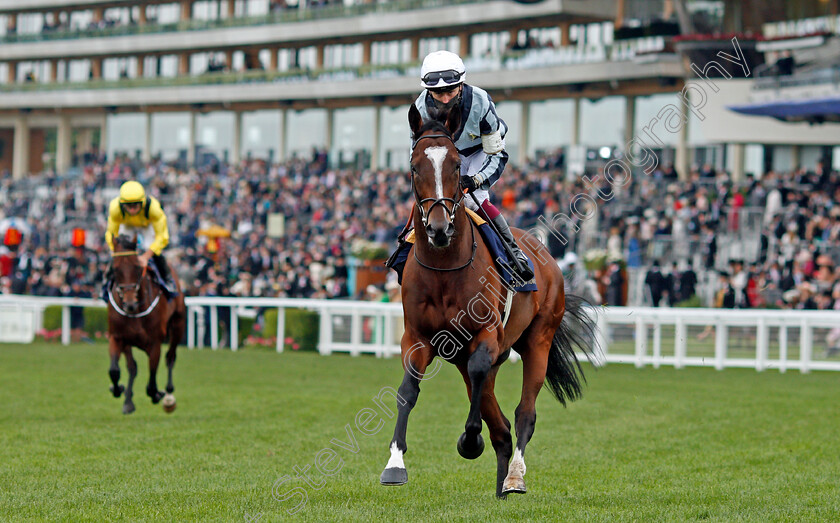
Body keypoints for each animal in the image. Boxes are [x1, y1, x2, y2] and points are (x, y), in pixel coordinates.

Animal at [107, 235, 186, 416]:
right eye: (115, 269)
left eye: (137, 267)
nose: (129, 304)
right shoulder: (117, 337)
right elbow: (115, 371)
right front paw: (118, 390)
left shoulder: (155, 342)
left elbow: (151, 383)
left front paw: (157, 394)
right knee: (132, 367)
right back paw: (128, 401)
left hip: (178, 325)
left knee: (170, 357)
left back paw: (168, 391)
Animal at [380, 105, 596, 500]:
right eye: (415, 166)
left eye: (455, 166)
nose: (438, 228)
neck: (444, 267)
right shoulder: (418, 337)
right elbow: (407, 391)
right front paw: (395, 464)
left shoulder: (486, 336)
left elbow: (481, 381)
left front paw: (469, 442)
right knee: (500, 424)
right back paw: (499, 485)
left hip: (537, 338)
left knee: (524, 412)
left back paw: (514, 478)